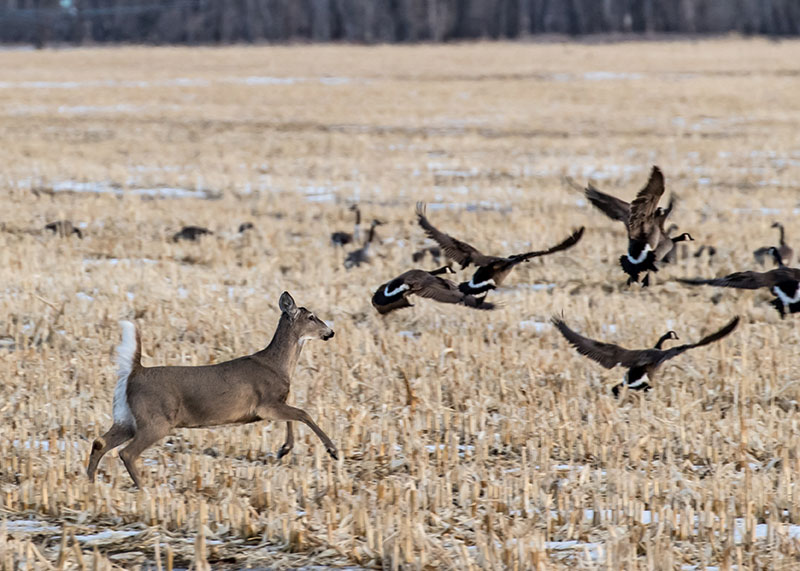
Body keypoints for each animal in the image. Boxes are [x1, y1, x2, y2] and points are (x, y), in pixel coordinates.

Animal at [87, 292, 338, 490]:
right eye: (311, 317)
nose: (331, 332)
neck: (278, 366)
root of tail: (134, 372)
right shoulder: (265, 404)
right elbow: (303, 413)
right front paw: (332, 450)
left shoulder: (273, 404)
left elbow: (293, 417)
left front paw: (284, 450)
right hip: (156, 419)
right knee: (127, 453)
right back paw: (144, 488)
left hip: (126, 418)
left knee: (100, 442)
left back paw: (90, 483)